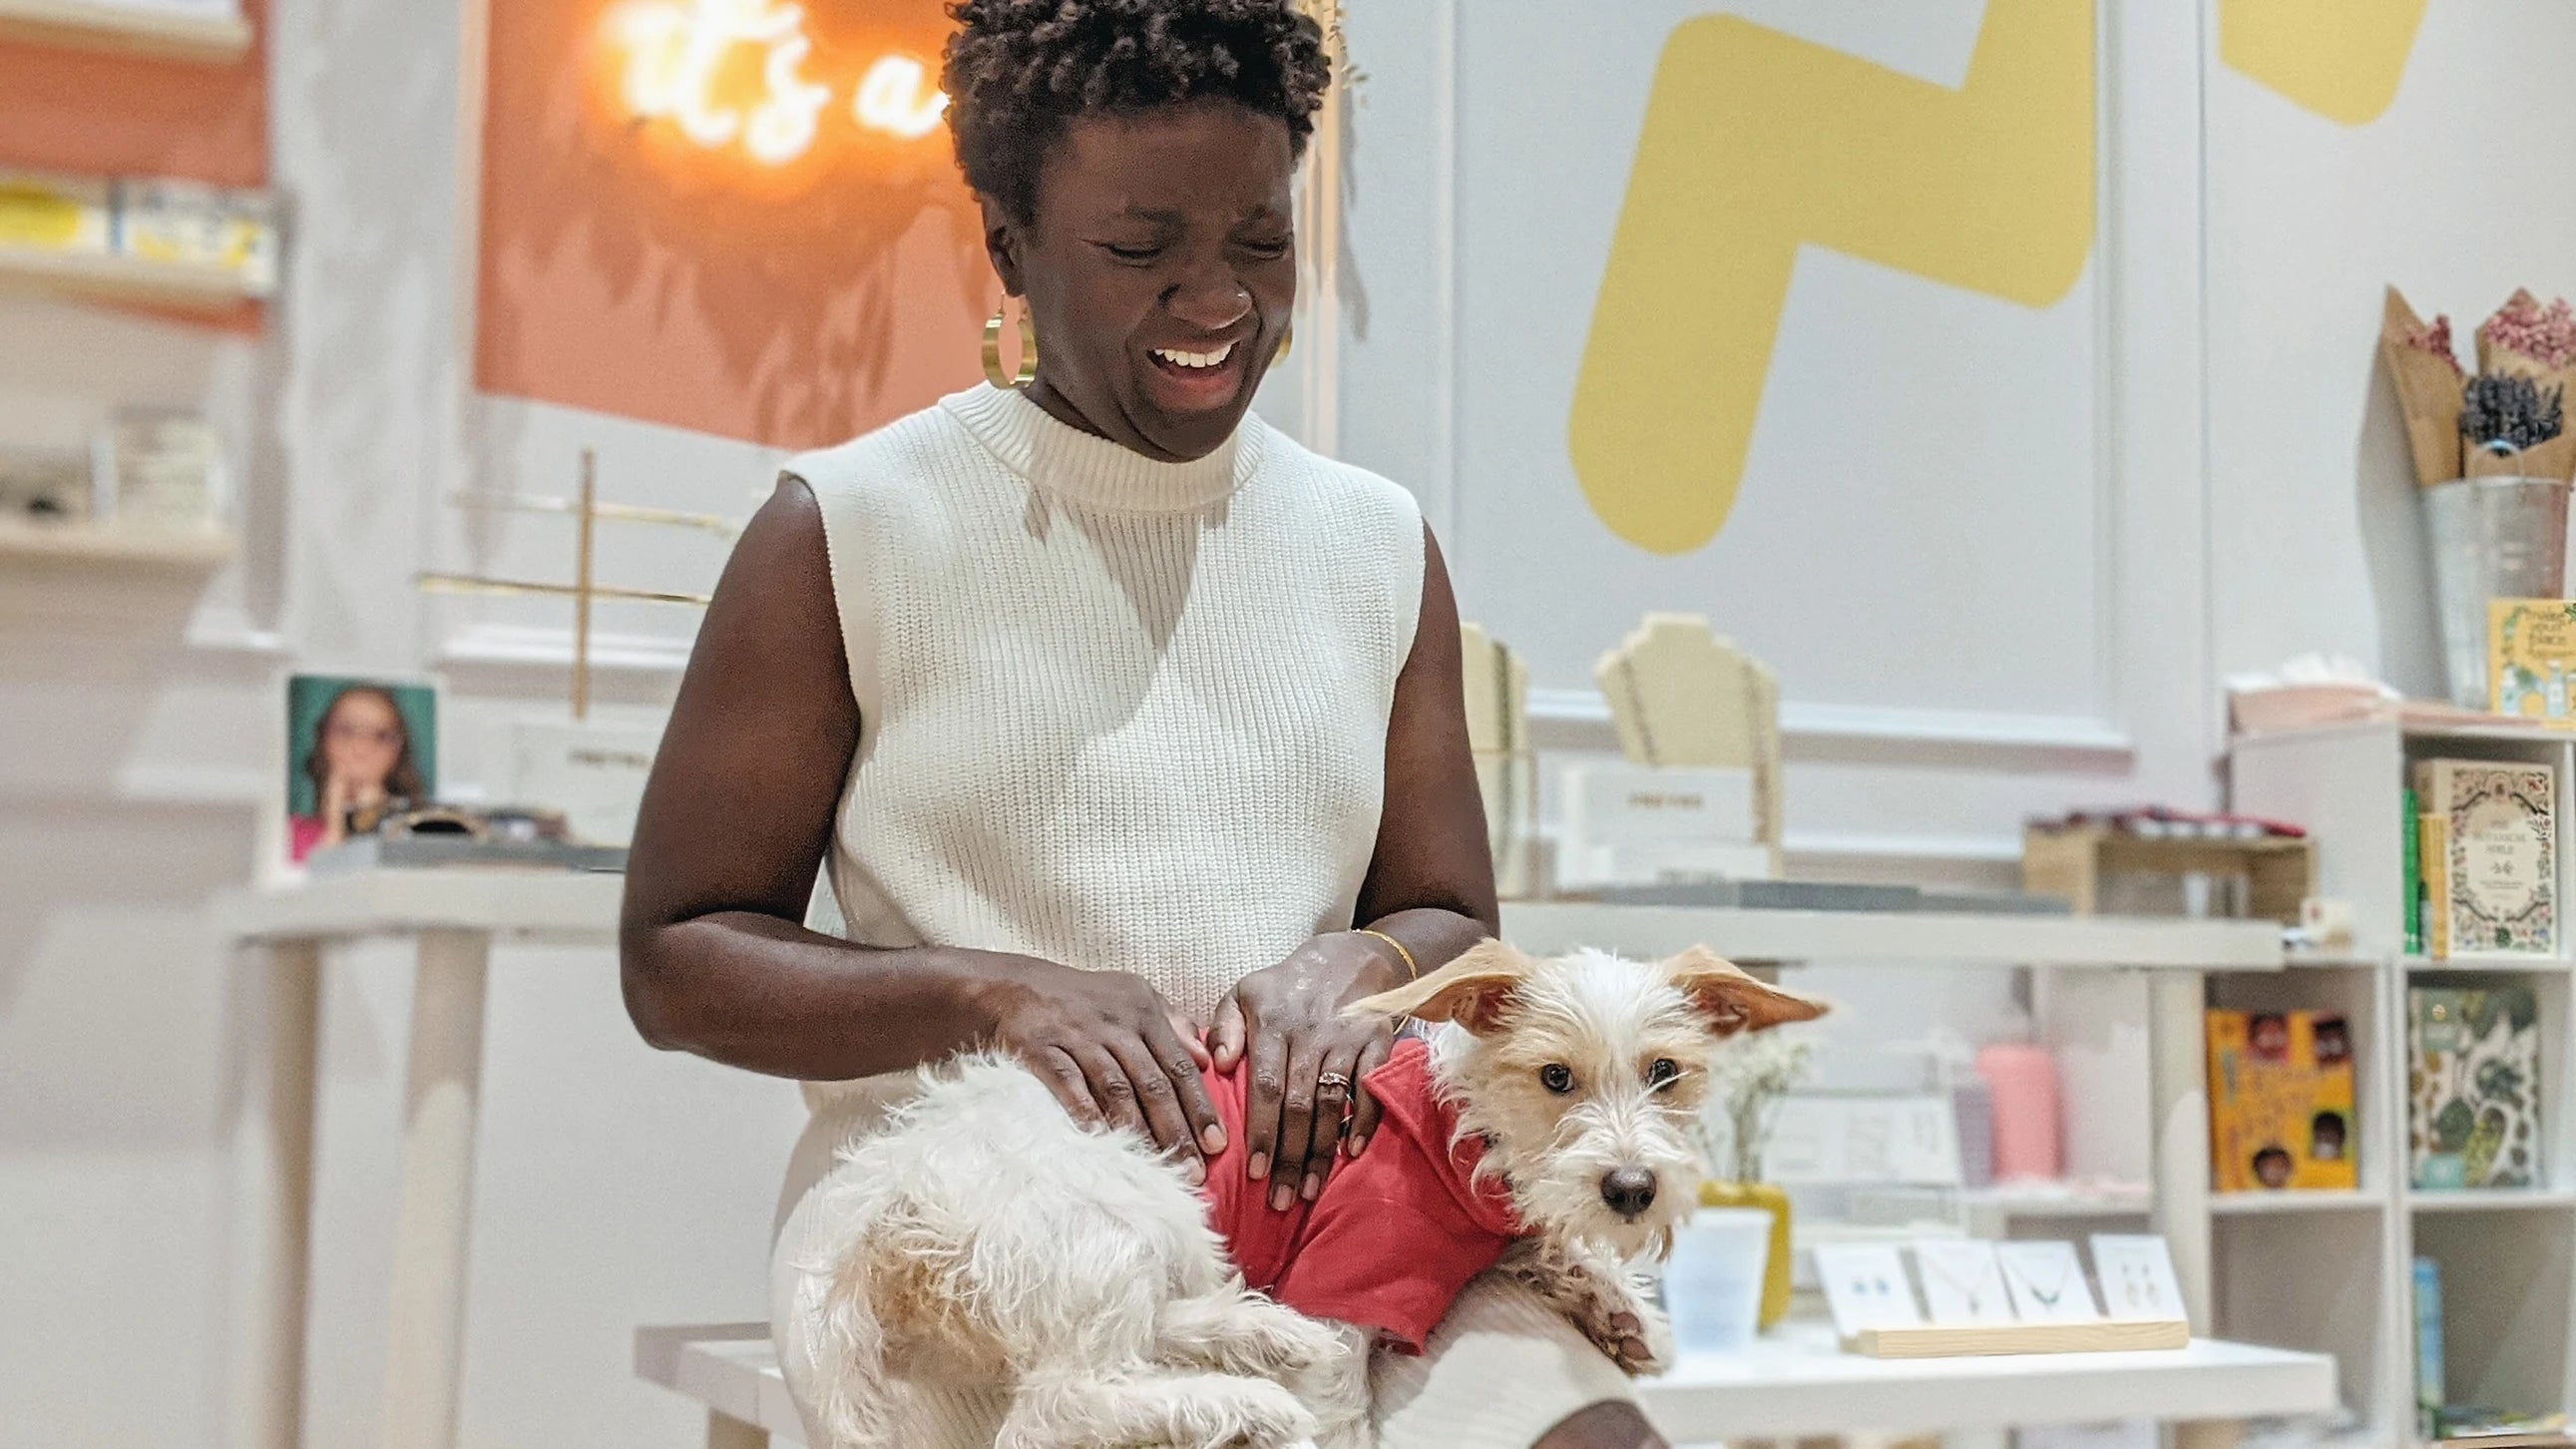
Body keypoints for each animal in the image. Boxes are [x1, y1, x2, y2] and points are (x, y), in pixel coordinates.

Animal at [793, 938, 1824, 1443]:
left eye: (1666, 1073)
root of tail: (883, 1205)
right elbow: (1343, 1404)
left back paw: (1258, 1334)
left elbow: (1544, 1238)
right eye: (1556, 1078)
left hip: (1159, 1228)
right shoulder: (1352, 1281)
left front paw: (1620, 1310)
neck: (1457, 1133)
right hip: (1112, 1212)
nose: (1632, 1189)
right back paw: (1248, 1405)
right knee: (1060, 1404)